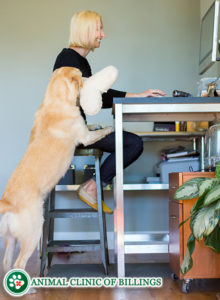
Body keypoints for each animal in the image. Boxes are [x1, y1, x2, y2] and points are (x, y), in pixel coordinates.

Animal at [0, 67, 113, 272]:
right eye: (82, 76)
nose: (88, 78)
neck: (55, 100)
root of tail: (7, 203)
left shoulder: (85, 130)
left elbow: (92, 126)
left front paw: (97, 123)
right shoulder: (86, 137)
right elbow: (100, 132)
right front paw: (110, 127)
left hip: (10, 240)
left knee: (6, 263)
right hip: (33, 232)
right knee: (20, 263)